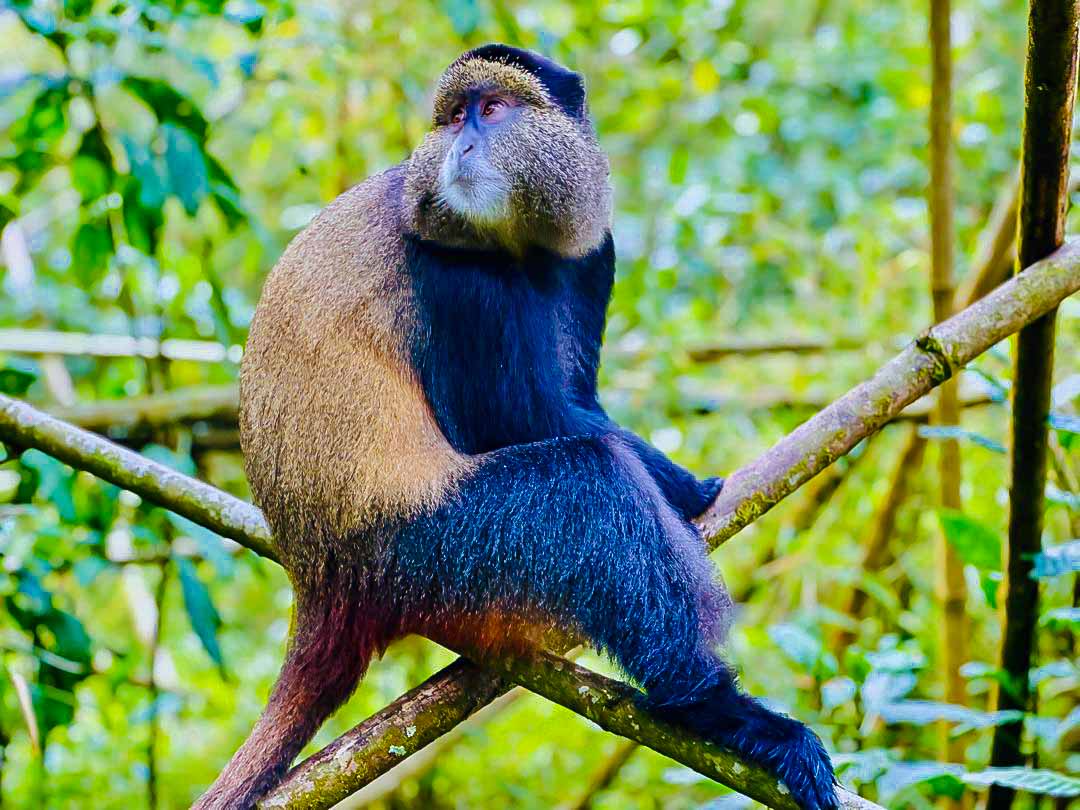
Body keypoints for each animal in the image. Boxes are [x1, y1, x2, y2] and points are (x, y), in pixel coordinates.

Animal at [196, 44, 837, 810]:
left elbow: (575, 396)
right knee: (592, 486)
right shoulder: (459, 279)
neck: (519, 243)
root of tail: (318, 583)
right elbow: (524, 420)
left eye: (493, 109)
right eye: (453, 117)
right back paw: (713, 708)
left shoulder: (596, 253)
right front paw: (688, 488)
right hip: (427, 554)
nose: (462, 146)